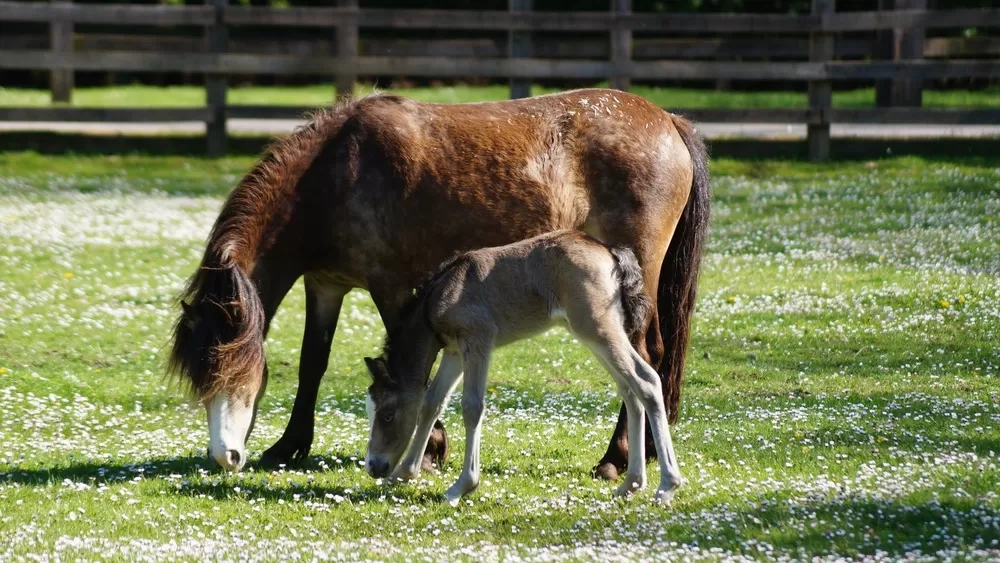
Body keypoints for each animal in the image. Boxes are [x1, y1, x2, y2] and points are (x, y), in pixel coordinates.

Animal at [366, 231, 688, 504]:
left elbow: (472, 407)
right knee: (629, 389)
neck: (439, 295)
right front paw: (404, 473)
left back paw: (667, 486)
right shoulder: (455, 352)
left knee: (646, 381)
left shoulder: (478, 341)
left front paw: (461, 486)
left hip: (598, 330)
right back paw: (631, 484)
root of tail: (609, 251)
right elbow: (432, 403)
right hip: (600, 334)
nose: (373, 466)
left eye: (387, 414)